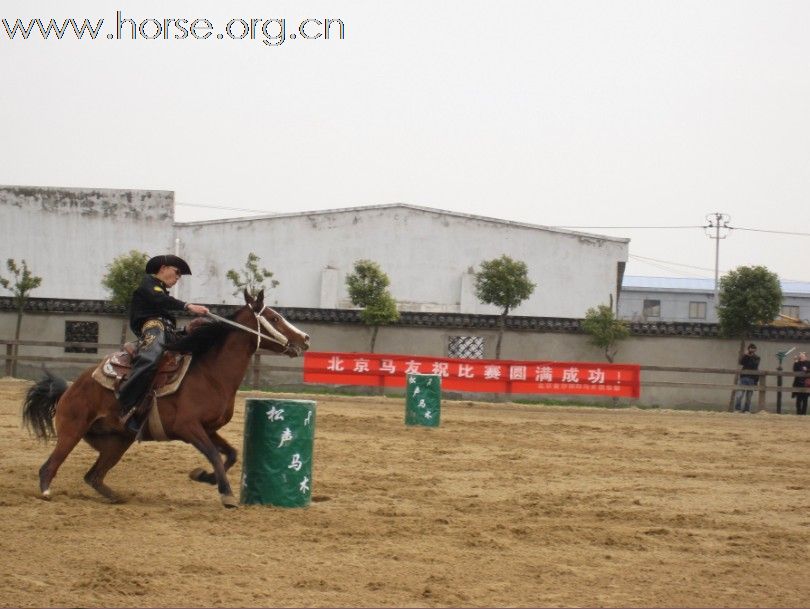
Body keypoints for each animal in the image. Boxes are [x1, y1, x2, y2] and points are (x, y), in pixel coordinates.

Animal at [19, 290, 310, 508]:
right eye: (274, 317)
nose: (305, 339)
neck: (211, 374)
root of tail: (69, 389)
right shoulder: (188, 427)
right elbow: (215, 455)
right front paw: (225, 493)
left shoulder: (208, 428)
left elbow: (231, 454)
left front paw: (204, 477)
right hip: (73, 430)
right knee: (50, 466)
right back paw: (46, 492)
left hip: (117, 441)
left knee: (93, 476)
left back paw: (116, 497)